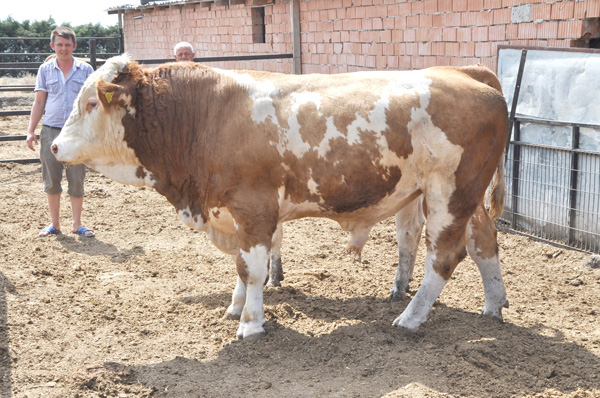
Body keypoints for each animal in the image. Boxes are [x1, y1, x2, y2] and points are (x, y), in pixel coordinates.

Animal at [54, 55, 508, 342]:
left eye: (91, 102)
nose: (55, 146)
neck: (205, 117)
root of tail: (465, 72)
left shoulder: (253, 208)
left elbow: (253, 269)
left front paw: (251, 323)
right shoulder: (231, 212)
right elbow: (240, 268)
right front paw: (236, 307)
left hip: (449, 193)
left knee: (444, 257)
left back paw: (410, 318)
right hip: (464, 196)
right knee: (483, 241)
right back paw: (493, 306)